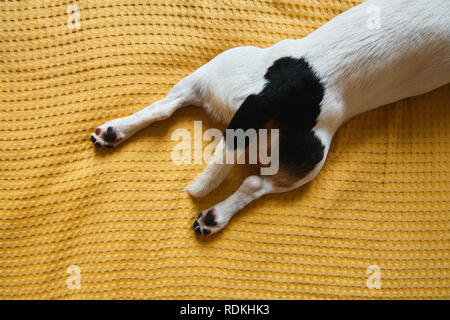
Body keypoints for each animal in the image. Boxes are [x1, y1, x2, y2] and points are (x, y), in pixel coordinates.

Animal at [91, 0, 450, 235]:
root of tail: (275, 92)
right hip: (312, 159)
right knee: (254, 184)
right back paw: (216, 216)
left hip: (214, 72)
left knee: (164, 107)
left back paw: (114, 131)